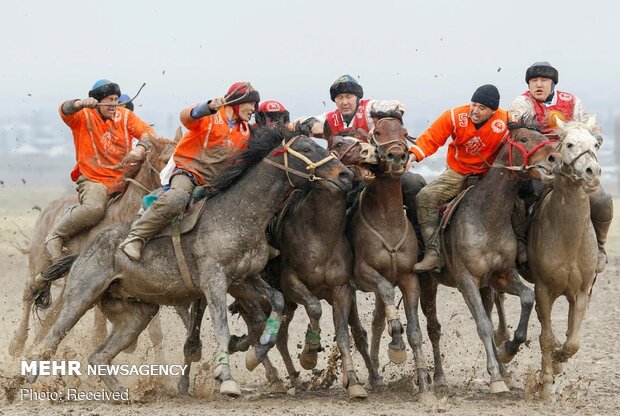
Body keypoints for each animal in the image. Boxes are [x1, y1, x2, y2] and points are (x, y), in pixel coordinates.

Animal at [9, 134, 179, 358]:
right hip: (39, 263)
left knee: (53, 312)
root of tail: (48, 210)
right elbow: (99, 329)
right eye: (166, 159)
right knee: (30, 292)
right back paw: (17, 344)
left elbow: (155, 331)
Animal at [26, 129, 354, 396]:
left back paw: (121, 393)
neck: (239, 214)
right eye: (308, 148)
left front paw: (254, 352)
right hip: (81, 296)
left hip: (136, 313)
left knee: (99, 356)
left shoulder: (244, 280)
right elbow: (222, 328)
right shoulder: (215, 281)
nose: (346, 176)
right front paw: (227, 377)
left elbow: (274, 303)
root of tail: (82, 252)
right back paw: (26, 382)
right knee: (49, 340)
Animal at [346, 114, 434, 404]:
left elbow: (415, 332)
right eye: (378, 132)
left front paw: (424, 385)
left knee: (375, 322)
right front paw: (396, 342)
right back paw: (373, 375)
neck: (387, 220)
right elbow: (386, 292)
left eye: (404, 132)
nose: (397, 156)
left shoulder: (409, 278)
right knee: (364, 328)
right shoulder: (364, 274)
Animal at [416, 120, 560, 394]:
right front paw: (495, 377)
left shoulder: (501, 276)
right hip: (427, 282)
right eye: (524, 139)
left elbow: (526, 298)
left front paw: (508, 351)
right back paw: (439, 377)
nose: (554, 159)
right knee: (433, 328)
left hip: (485, 288)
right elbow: (482, 324)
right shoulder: (466, 281)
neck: (487, 216)